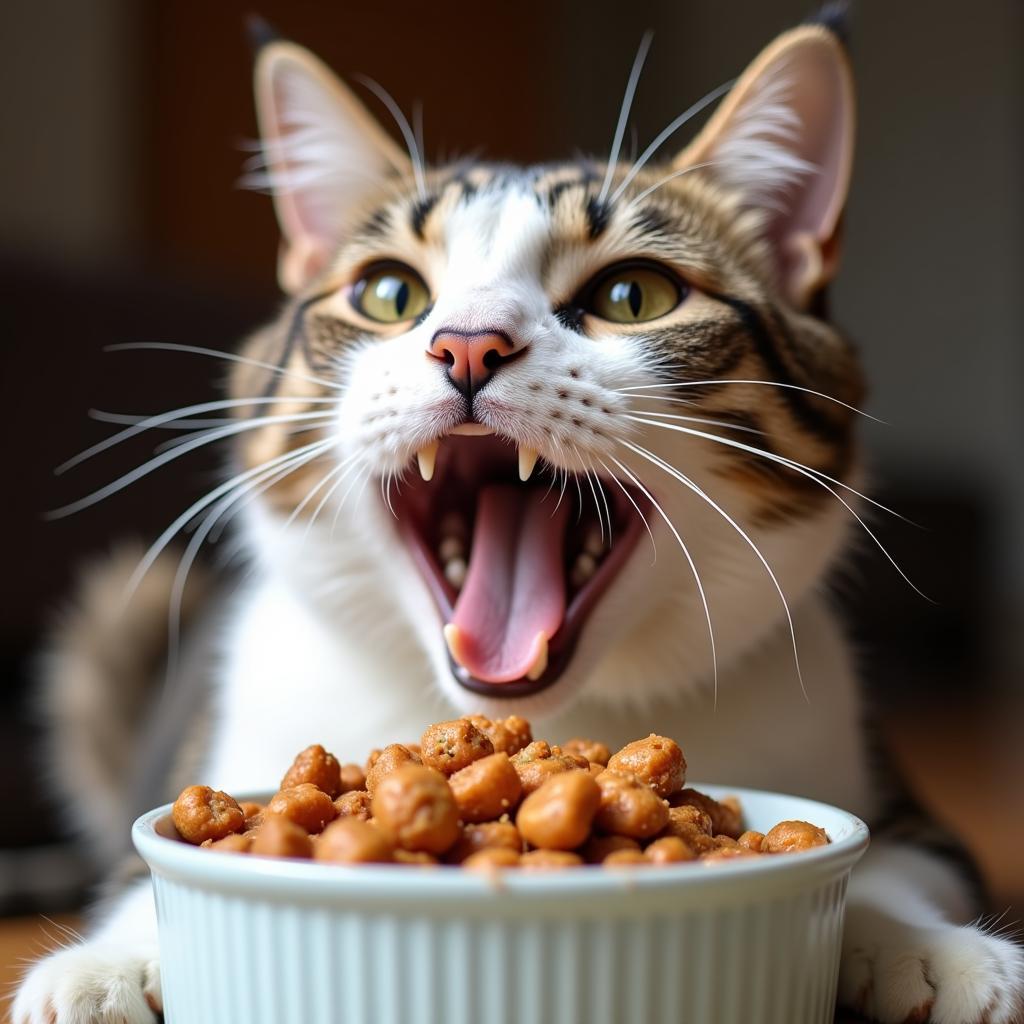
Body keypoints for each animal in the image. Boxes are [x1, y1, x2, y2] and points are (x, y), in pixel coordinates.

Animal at [9, 8, 1024, 1024]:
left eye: (635, 296)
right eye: (389, 293)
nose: (467, 344)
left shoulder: (886, 791)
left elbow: (895, 863)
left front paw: (939, 953)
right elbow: (135, 881)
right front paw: (100, 966)